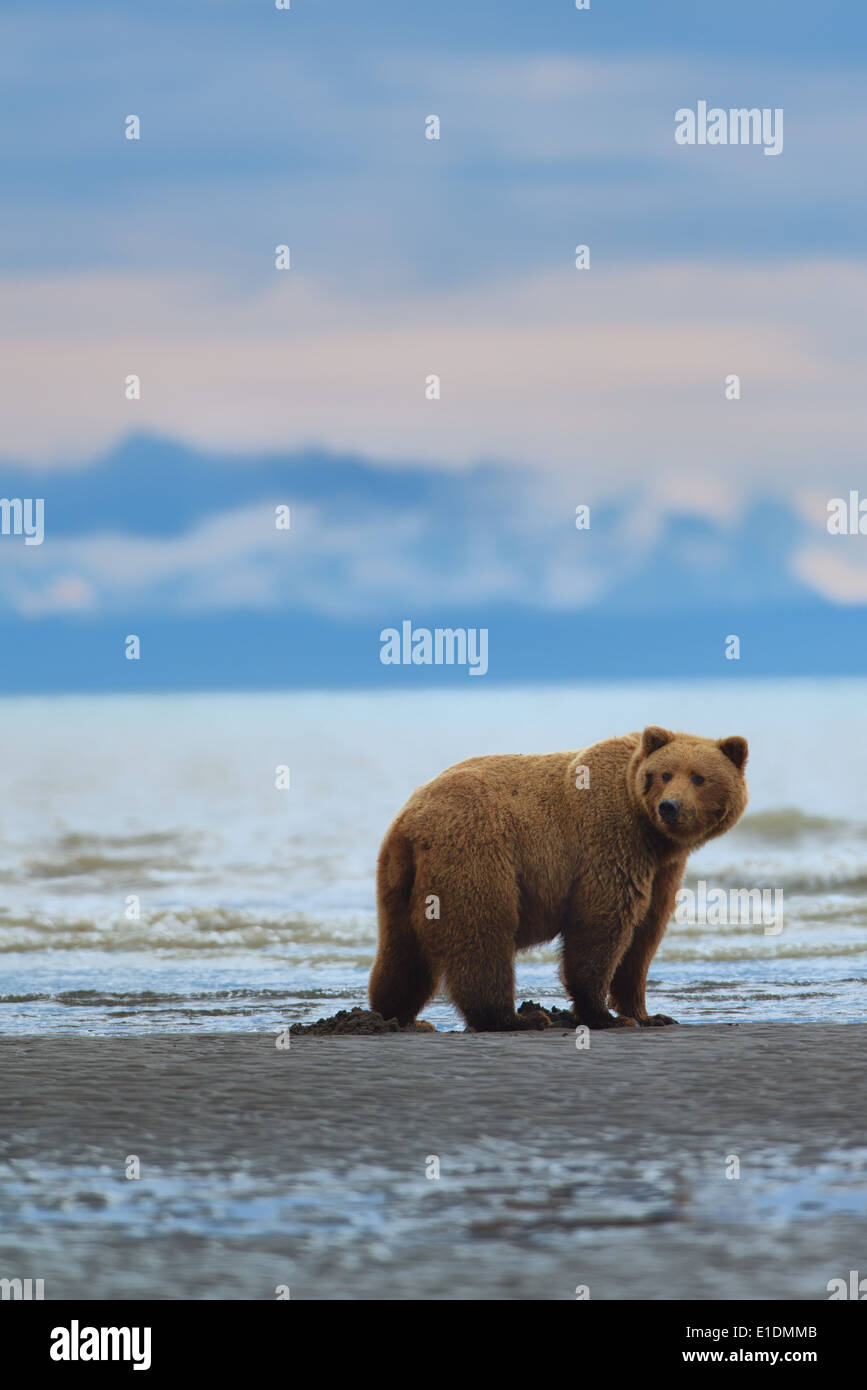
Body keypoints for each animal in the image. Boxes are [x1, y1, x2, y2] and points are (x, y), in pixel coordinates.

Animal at [369, 726, 748, 1031]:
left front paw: (648, 1014)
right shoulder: (611, 841)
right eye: (665, 774)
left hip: (400, 878)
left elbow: (644, 936)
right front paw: (603, 1014)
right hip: (475, 852)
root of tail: (411, 821)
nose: (670, 807)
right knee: (482, 933)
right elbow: (601, 928)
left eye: (699, 777)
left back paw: (395, 1017)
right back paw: (516, 1018)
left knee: (401, 951)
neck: (652, 835)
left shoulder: (662, 870)